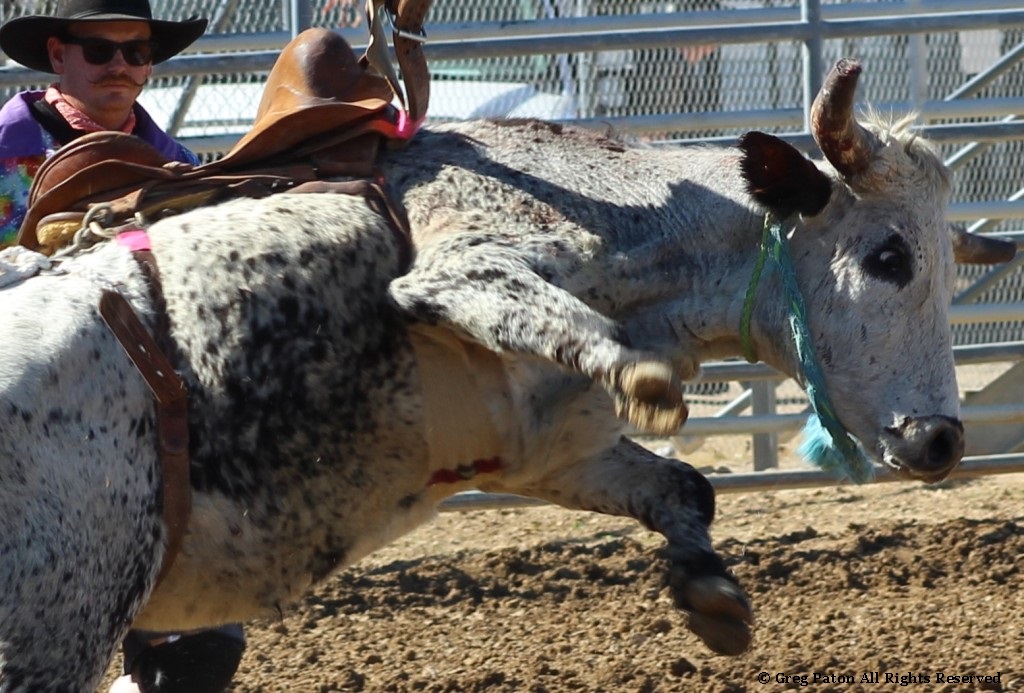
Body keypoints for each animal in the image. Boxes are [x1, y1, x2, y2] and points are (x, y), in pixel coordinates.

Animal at [0, 59, 1013, 691]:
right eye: (889, 256)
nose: (941, 438)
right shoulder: (461, 268)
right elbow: (552, 322)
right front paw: (649, 381)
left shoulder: (554, 452)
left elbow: (685, 490)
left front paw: (712, 598)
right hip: (54, 625)